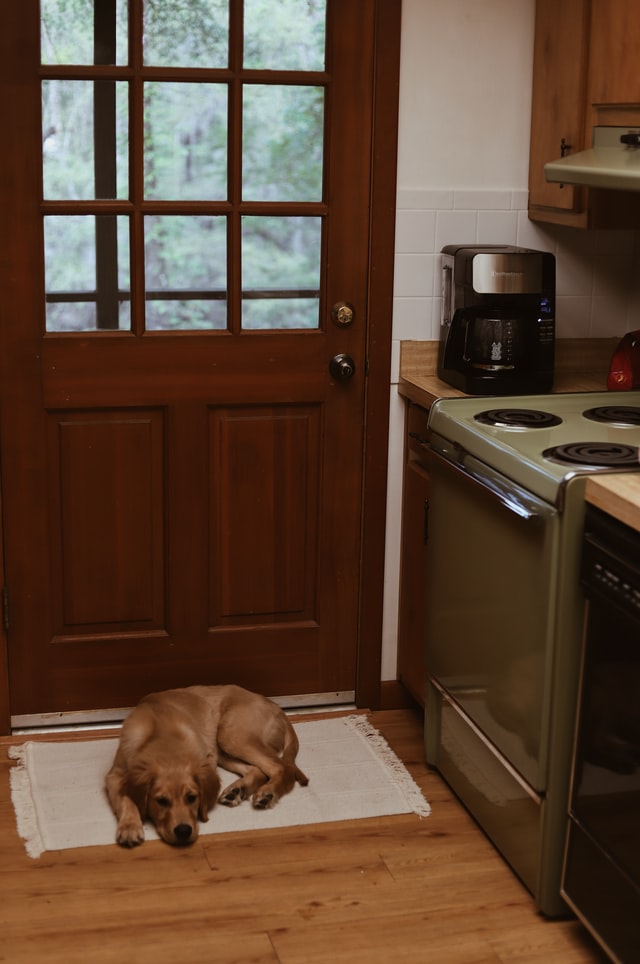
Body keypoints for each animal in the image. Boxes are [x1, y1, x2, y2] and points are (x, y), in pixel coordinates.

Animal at [105, 680, 310, 848]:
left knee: (281, 767)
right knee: (258, 770)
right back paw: (237, 791)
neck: (162, 736)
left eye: (192, 798)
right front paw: (129, 827)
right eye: (161, 801)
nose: (183, 832)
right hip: (223, 749)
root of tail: (275, 706)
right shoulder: (115, 775)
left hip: (232, 735)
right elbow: (125, 799)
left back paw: (268, 793)